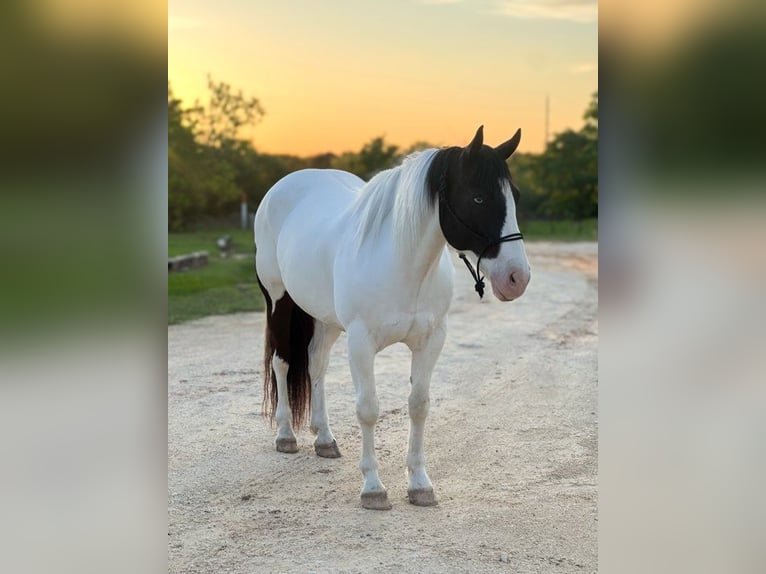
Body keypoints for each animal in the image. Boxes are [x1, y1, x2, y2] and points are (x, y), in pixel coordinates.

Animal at [255, 127, 532, 512]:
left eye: (514, 195)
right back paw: (285, 435)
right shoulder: (361, 343)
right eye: (478, 198)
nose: (517, 278)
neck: (402, 265)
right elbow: (368, 409)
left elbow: (419, 405)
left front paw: (419, 484)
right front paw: (373, 488)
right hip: (278, 301)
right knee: (281, 362)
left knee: (315, 364)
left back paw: (324, 438)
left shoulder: (431, 341)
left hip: (325, 318)